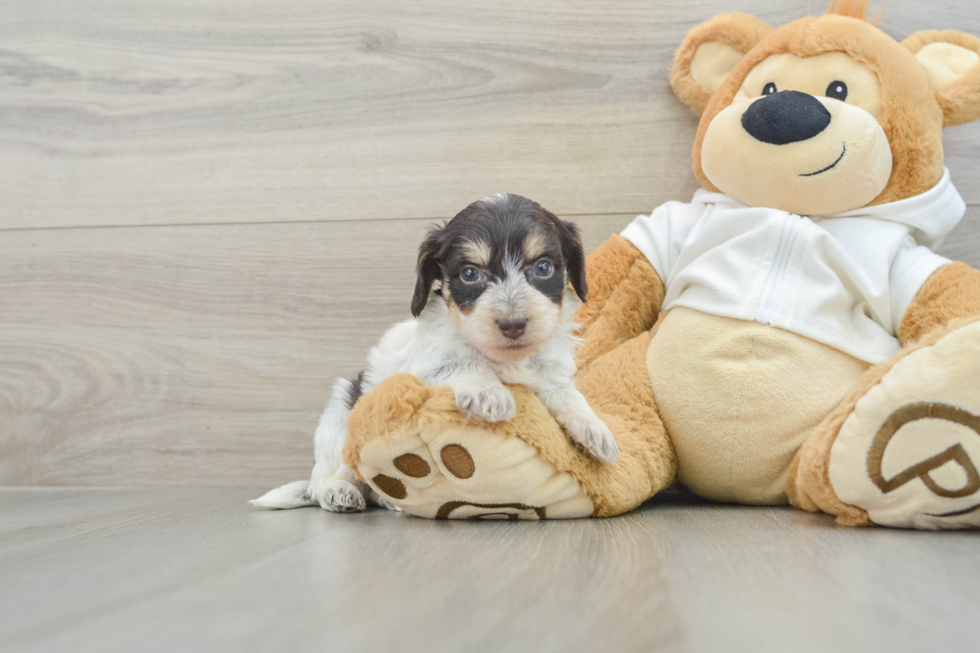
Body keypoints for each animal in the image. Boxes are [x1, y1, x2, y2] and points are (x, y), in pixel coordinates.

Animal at [253, 195, 620, 516]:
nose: (513, 324)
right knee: (331, 481)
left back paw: (390, 502)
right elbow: (464, 362)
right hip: (341, 420)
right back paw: (341, 493)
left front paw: (595, 429)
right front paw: (489, 393)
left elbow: (567, 394)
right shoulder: (424, 369)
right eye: (470, 274)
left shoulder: (550, 374)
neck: (503, 359)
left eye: (543, 268)